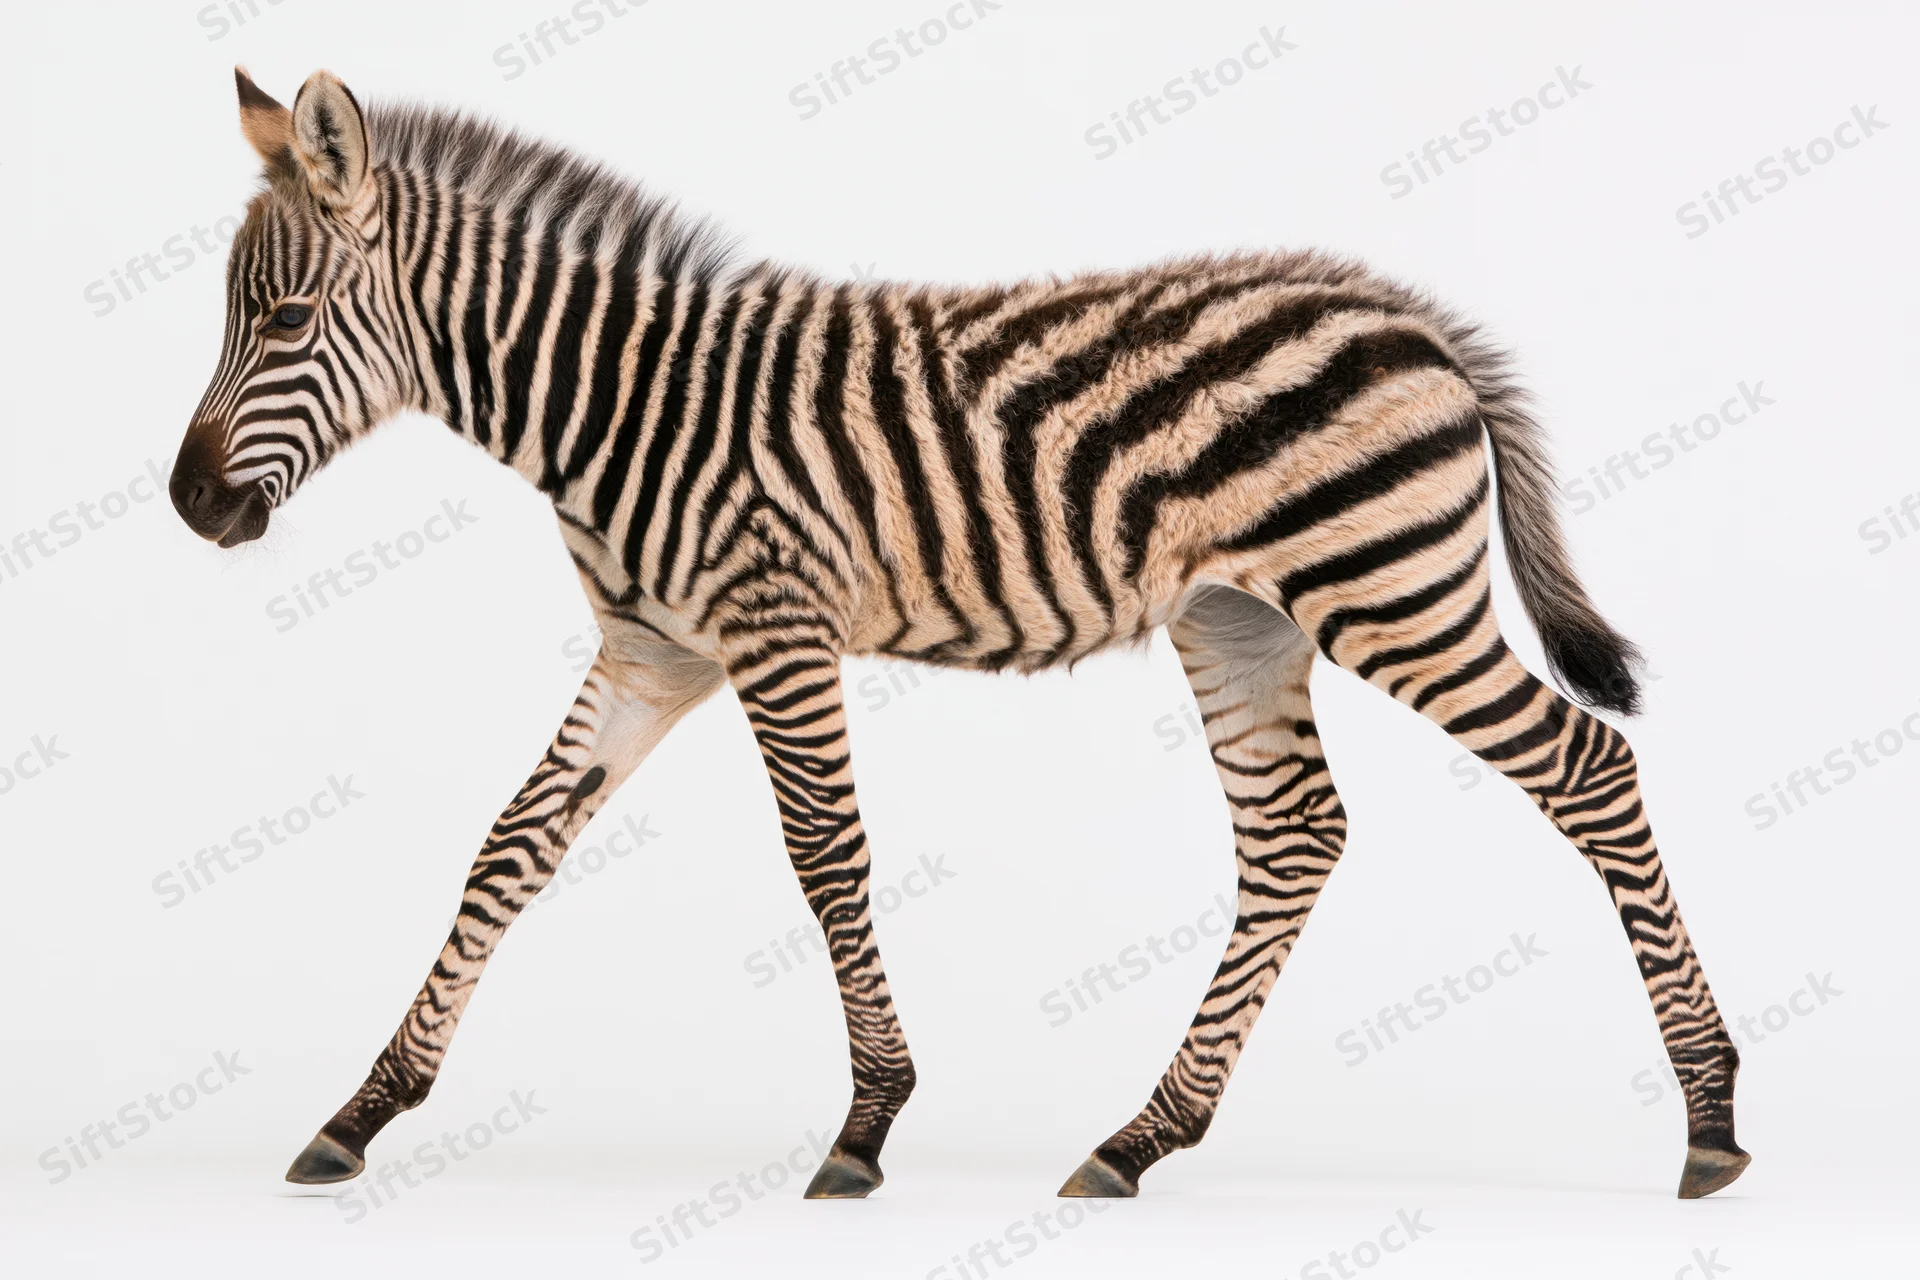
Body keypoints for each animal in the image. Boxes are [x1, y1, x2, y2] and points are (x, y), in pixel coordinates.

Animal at [171, 67, 1749, 1202]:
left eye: (286, 319)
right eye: (240, 316)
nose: (189, 505)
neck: (620, 404)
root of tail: (1414, 316)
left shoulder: (773, 626)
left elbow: (825, 857)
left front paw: (867, 1125)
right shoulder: (653, 651)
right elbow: (508, 849)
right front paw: (365, 1110)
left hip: (1387, 589)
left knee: (1587, 768)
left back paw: (1711, 1114)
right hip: (1243, 617)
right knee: (1298, 834)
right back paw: (1142, 1136)